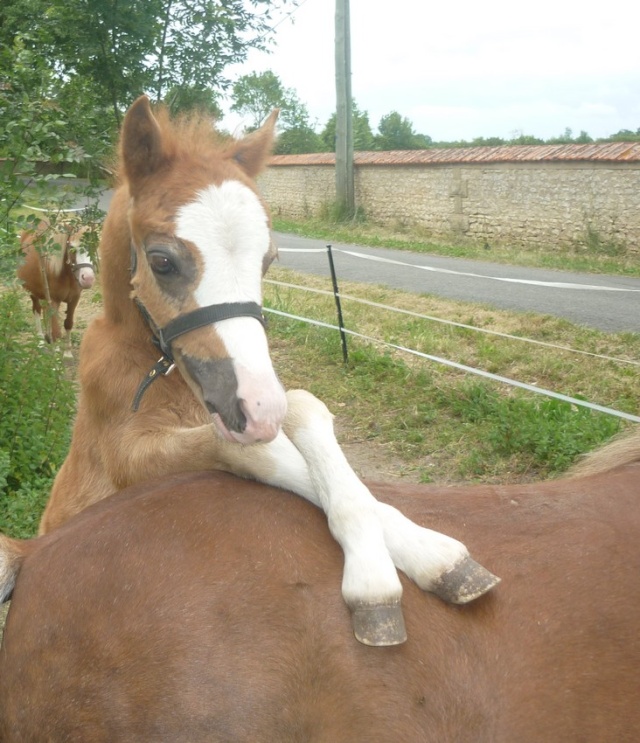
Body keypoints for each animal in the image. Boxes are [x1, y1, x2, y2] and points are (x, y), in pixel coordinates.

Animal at [16, 218, 95, 352]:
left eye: (94, 246)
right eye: (71, 247)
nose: (88, 279)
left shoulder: (74, 299)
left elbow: (68, 323)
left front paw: (67, 352)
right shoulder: (53, 301)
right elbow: (56, 332)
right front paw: (56, 355)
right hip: (33, 293)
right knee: (37, 310)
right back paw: (41, 341)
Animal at [36, 97, 500, 644]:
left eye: (269, 259)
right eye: (162, 261)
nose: (257, 407)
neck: (159, 376)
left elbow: (302, 409)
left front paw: (429, 552)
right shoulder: (128, 456)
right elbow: (253, 451)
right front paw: (380, 576)